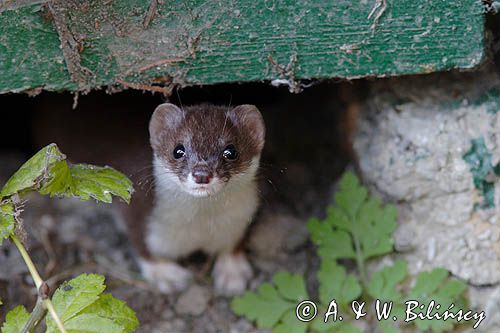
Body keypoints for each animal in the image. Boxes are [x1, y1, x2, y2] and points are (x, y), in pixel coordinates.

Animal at [133, 102, 266, 294]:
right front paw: (166, 274)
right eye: (178, 150)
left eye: (231, 151)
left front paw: (231, 272)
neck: (201, 227)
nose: (202, 173)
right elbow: (143, 247)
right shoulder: (142, 217)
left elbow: (233, 244)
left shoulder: (240, 219)